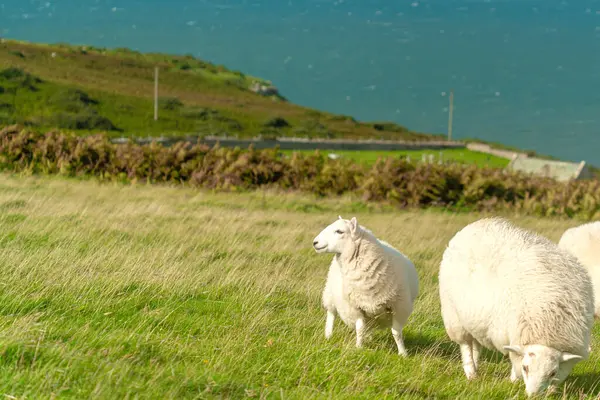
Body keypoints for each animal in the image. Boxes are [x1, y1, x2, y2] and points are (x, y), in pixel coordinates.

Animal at [312, 216, 420, 356]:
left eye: (339, 231)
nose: (315, 242)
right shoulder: (356, 307)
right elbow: (360, 329)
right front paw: (359, 347)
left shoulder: (399, 307)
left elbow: (396, 333)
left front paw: (403, 353)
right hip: (329, 293)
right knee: (331, 313)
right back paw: (328, 335)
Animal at [438, 217, 592, 398]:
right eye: (526, 368)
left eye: (552, 373)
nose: (533, 396)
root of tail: (476, 224)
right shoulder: (513, 335)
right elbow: (514, 360)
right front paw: (512, 382)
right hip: (454, 316)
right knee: (466, 346)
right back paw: (471, 374)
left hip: (474, 318)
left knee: (475, 344)